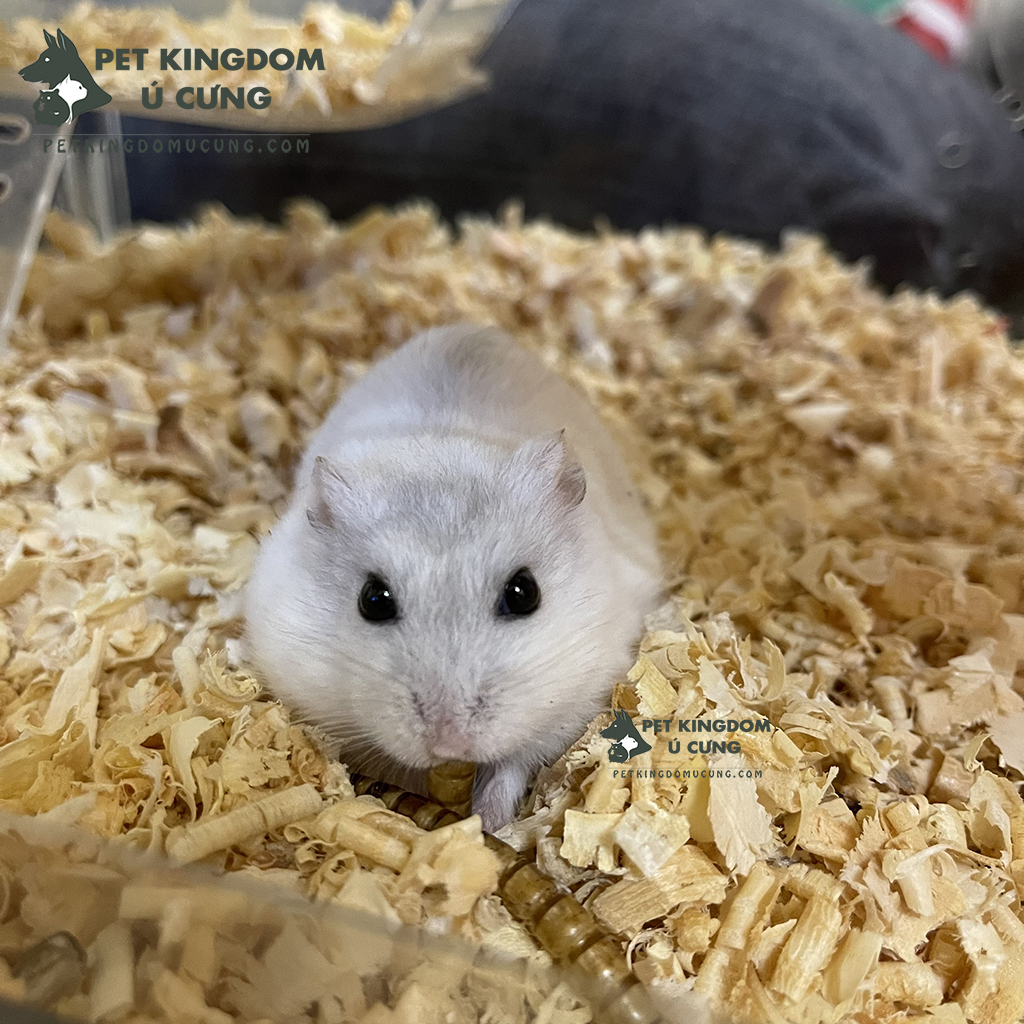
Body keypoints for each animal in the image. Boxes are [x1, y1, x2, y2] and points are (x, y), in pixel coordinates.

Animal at [243, 324, 663, 830]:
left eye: (523, 593)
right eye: (373, 600)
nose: (448, 744)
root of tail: (472, 327)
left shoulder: (581, 692)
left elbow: (511, 765)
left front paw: (489, 823)